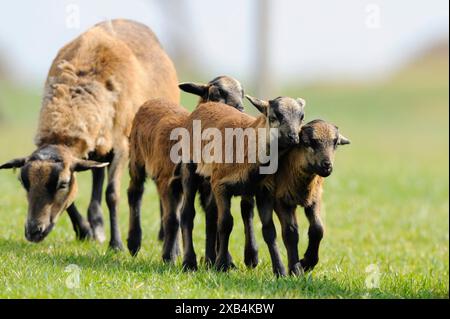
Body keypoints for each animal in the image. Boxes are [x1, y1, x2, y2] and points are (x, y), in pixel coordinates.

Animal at [0, 18, 179, 251]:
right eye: (24, 182)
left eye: (62, 184)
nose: (33, 232)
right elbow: (75, 196)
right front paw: (85, 231)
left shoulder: (121, 148)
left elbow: (112, 194)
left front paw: (116, 244)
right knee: (97, 175)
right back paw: (97, 226)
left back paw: (159, 234)